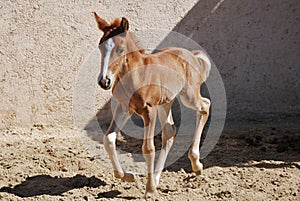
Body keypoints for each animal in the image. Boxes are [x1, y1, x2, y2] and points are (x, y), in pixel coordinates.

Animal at [94, 12, 211, 196]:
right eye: (101, 48)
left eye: (120, 49)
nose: (104, 81)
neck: (136, 75)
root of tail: (192, 54)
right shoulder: (124, 108)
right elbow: (108, 139)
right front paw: (127, 176)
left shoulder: (149, 111)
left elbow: (148, 149)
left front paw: (149, 190)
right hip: (165, 103)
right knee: (170, 130)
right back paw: (157, 179)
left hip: (188, 96)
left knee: (205, 105)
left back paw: (196, 163)